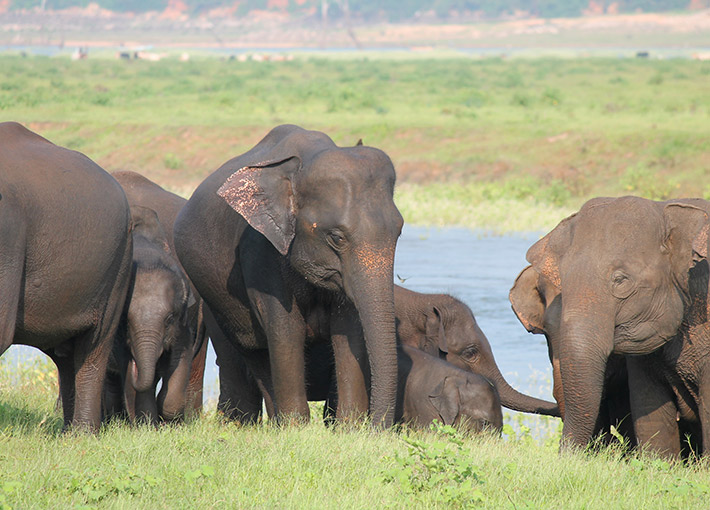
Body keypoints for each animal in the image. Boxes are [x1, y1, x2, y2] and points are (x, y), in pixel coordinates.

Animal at [0, 122, 133, 431]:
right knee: (65, 355)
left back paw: (82, 434)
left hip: (118, 264)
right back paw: (66, 433)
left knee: (94, 346)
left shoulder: (8, 232)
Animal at [112, 170, 208, 416]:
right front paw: (147, 420)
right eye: (125, 320)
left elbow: (181, 354)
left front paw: (167, 412)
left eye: (169, 319)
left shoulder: (185, 319)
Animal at [174, 125, 403, 427]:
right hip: (214, 298)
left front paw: (349, 427)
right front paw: (298, 427)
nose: (376, 427)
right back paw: (275, 423)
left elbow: (348, 327)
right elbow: (286, 328)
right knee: (252, 350)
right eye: (336, 238)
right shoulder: (260, 249)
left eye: (399, 231)